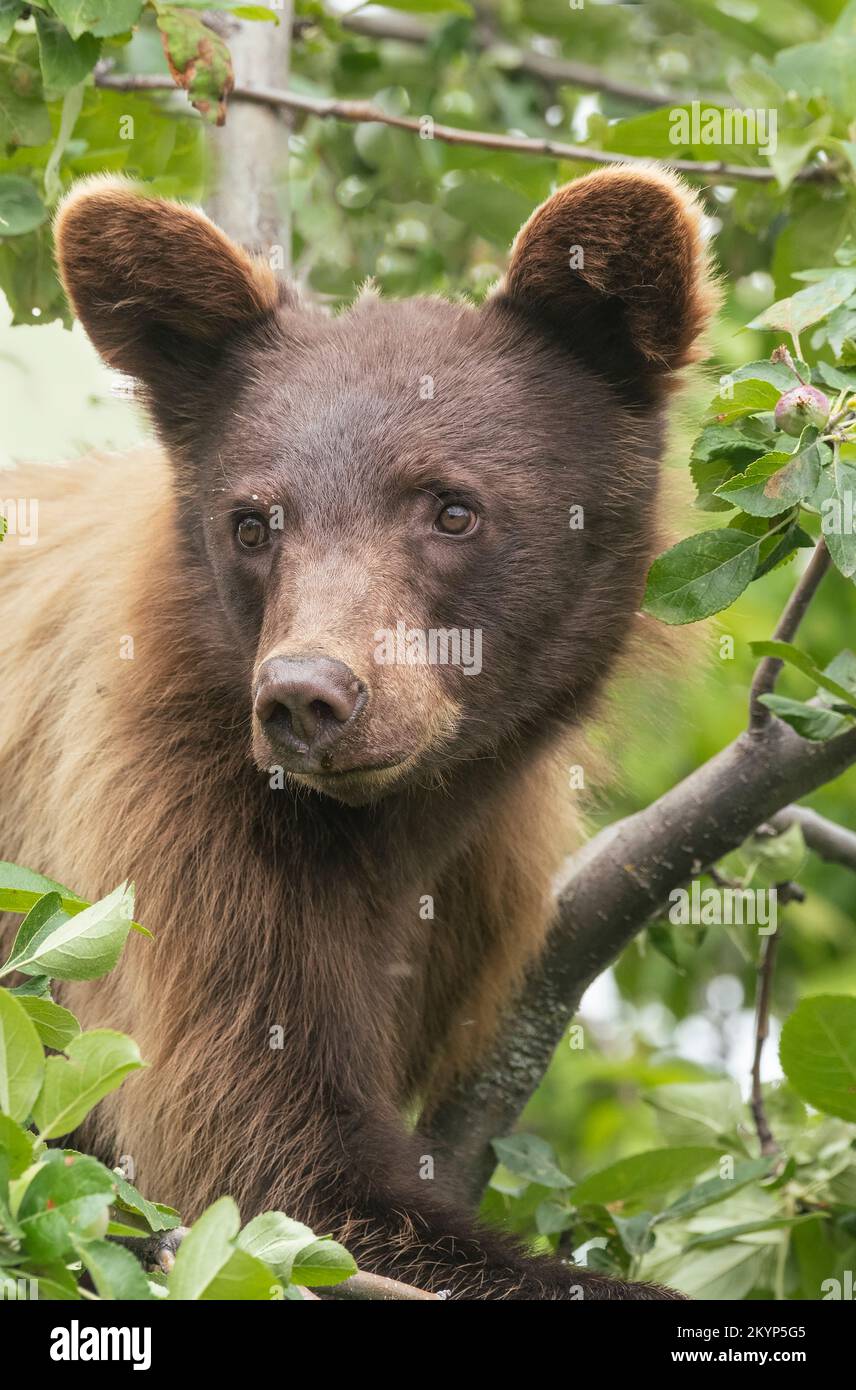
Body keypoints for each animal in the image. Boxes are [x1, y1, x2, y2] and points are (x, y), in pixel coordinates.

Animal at [0, 165, 717, 1301]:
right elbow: (267, 1164)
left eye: (452, 507)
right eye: (253, 522)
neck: (397, 821)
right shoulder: (167, 821)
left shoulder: (480, 886)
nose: (306, 695)